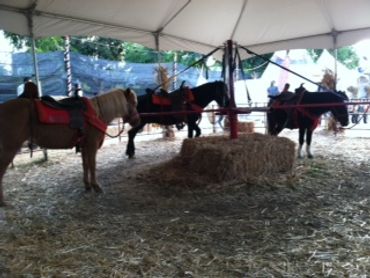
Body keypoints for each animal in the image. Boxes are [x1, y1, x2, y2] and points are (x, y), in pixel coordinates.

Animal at [0, 88, 140, 205]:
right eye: (133, 102)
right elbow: (92, 165)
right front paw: (96, 186)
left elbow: (85, 165)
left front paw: (87, 186)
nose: (137, 120)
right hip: (9, 149)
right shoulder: (92, 145)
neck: (97, 113)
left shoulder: (84, 146)